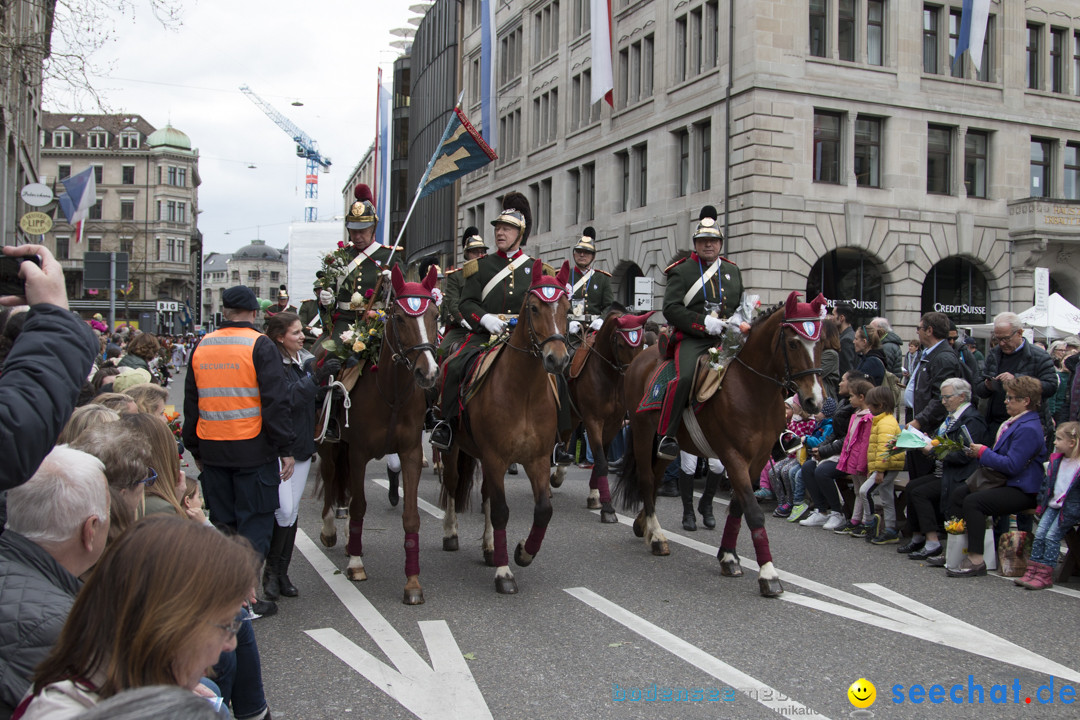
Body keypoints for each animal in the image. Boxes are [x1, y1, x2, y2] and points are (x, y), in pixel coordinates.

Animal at [317, 263, 440, 604]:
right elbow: (359, 505)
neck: (392, 394)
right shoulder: (358, 453)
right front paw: (356, 565)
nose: (428, 373)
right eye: (398, 318)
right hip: (331, 447)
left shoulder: (411, 453)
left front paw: (412, 582)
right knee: (331, 480)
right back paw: (331, 531)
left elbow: (411, 516)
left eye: (435, 314)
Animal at [438, 257, 574, 591]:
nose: (557, 360)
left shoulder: (537, 460)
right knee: (452, 484)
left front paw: (523, 552)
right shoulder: (496, 457)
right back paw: (451, 533)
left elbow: (543, 510)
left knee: (487, 494)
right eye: (534, 308)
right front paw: (504, 572)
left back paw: (489, 548)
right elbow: (501, 511)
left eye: (567, 308)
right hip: (455, 449)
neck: (523, 391)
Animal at [552, 306, 652, 520]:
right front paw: (607, 507)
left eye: (641, 343)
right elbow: (601, 461)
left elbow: (602, 460)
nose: (633, 375)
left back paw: (560, 470)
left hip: (573, 416)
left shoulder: (613, 423)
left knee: (565, 437)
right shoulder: (593, 420)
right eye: (621, 344)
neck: (609, 377)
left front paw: (595, 496)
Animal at [617, 291, 825, 595]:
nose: (814, 402)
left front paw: (728, 556)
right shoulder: (733, 456)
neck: (752, 391)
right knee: (646, 479)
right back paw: (656, 537)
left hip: (666, 445)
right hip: (643, 433)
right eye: (794, 342)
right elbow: (753, 512)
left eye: (820, 342)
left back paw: (644, 524)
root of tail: (642, 356)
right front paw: (768, 573)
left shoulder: (757, 460)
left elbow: (739, 507)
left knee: (655, 479)